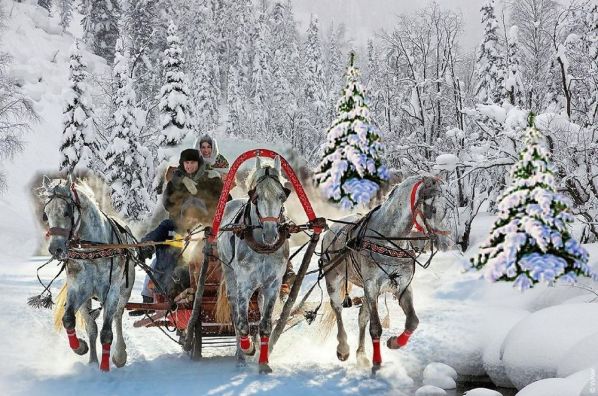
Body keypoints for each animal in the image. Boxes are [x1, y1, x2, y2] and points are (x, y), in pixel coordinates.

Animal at [41, 179, 136, 372]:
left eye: (67, 212)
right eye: (46, 214)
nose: (56, 249)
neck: (93, 250)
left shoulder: (112, 291)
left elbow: (107, 332)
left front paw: (105, 367)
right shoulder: (78, 289)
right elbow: (69, 320)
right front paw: (81, 347)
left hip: (124, 292)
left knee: (117, 317)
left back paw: (119, 355)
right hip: (87, 300)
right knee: (91, 327)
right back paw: (92, 360)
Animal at [218, 156, 292, 372]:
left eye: (282, 196)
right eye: (256, 197)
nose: (270, 234)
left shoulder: (273, 285)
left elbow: (265, 324)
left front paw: (264, 362)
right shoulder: (244, 284)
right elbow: (242, 324)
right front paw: (248, 348)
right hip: (230, 275)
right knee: (236, 314)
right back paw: (241, 356)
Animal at [324, 176, 450, 374]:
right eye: (434, 209)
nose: (445, 243)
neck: (387, 238)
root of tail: (330, 230)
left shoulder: (403, 286)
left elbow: (412, 321)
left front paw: (394, 343)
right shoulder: (372, 285)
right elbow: (376, 327)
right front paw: (377, 362)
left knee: (362, 317)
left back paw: (362, 355)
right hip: (334, 281)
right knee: (337, 309)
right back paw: (343, 349)